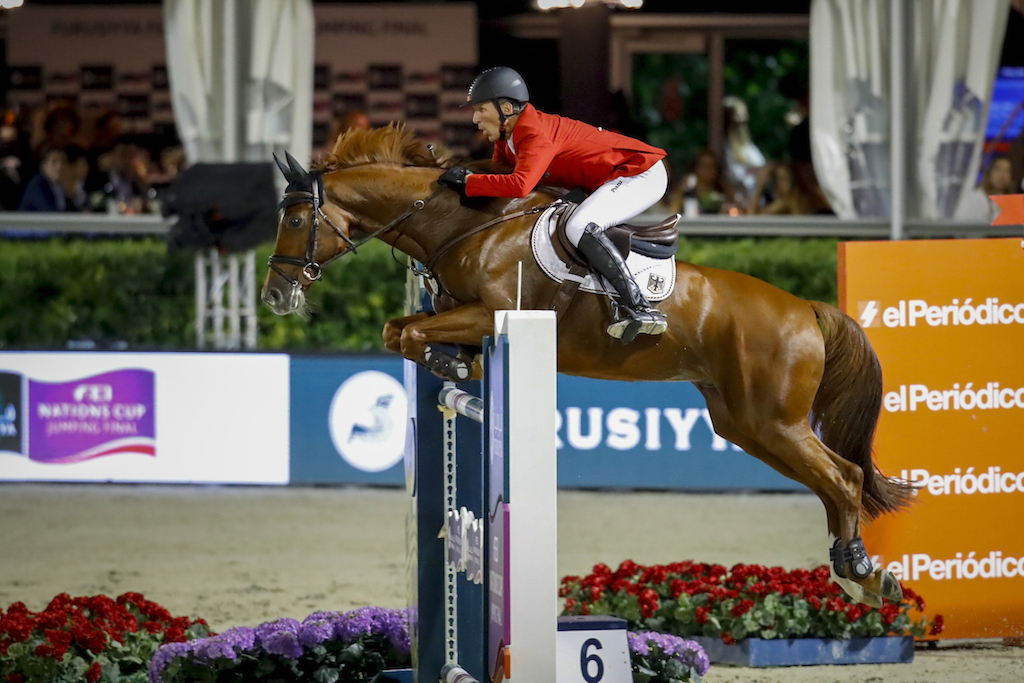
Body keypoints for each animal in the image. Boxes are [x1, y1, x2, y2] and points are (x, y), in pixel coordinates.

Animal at [262, 124, 913, 610]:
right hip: (746, 424)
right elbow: (398, 331)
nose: (275, 296)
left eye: (294, 220)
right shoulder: (453, 313)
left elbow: (412, 332)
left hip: (773, 420)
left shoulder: (492, 313)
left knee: (844, 478)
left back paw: (863, 573)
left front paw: (450, 362)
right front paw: (453, 365)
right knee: (831, 481)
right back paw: (857, 572)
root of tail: (806, 308)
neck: (465, 226)